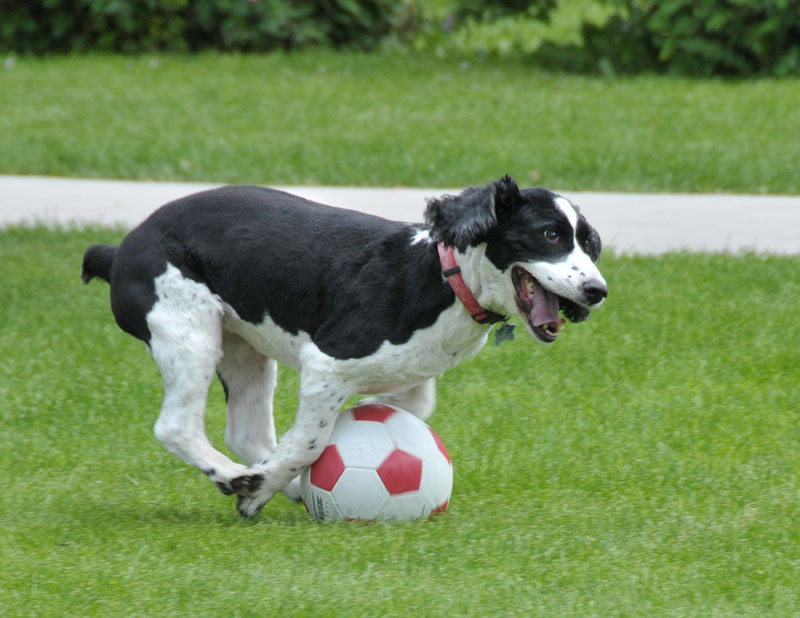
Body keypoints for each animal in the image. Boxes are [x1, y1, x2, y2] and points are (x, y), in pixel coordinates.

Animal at [83, 173, 608, 516]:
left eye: (590, 245)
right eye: (549, 234)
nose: (597, 291)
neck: (440, 276)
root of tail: (120, 248)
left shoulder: (410, 372)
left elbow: (410, 405)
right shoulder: (328, 363)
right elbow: (312, 442)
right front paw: (258, 491)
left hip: (242, 347)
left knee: (245, 431)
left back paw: (280, 486)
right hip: (188, 331)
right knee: (176, 426)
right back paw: (238, 478)